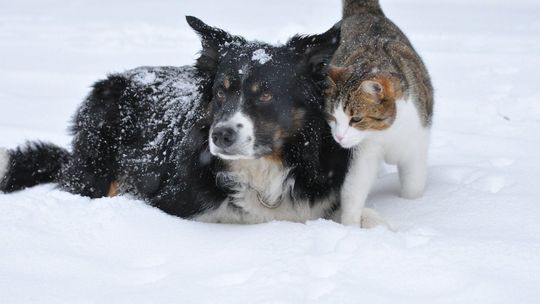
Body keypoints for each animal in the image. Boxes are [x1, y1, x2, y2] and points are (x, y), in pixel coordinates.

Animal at [324, 0, 434, 226]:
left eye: (356, 119)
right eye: (332, 117)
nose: (338, 137)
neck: (388, 131)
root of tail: (365, 12)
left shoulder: (416, 143)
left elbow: (413, 186)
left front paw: (413, 207)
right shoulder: (364, 151)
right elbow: (354, 187)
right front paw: (349, 225)